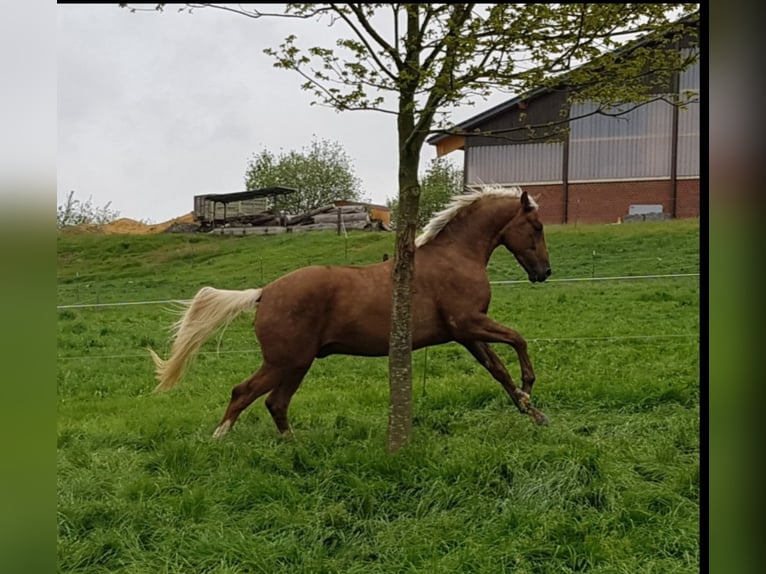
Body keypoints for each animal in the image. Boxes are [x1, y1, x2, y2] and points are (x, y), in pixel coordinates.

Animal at [150, 187, 556, 438]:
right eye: (536, 227)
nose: (544, 273)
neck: (454, 257)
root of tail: (264, 293)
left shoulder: (466, 334)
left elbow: (498, 370)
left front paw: (532, 410)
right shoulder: (469, 323)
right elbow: (518, 341)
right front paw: (529, 388)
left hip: (296, 364)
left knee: (274, 402)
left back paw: (293, 445)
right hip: (287, 361)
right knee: (244, 393)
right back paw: (220, 439)